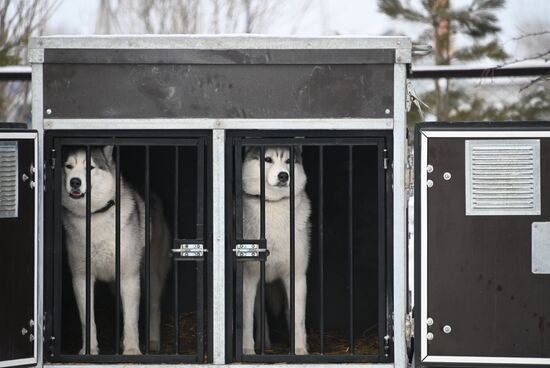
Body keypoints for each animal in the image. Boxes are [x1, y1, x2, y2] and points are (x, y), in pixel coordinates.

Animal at [61, 146, 171, 354]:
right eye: (68, 166)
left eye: (90, 167)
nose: (75, 182)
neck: (95, 216)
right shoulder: (81, 277)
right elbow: (88, 320)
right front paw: (89, 350)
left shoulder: (129, 277)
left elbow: (132, 319)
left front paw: (132, 351)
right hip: (115, 285)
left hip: (152, 274)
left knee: (153, 307)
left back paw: (152, 342)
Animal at [242, 146, 310, 354]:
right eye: (268, 159)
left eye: (288, 161)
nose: (283, 175)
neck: (273, 205)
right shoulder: (248, 278)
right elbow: (246, 319)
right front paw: (246, 350)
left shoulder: (296, 277)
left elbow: (298, 319)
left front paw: (300, 350)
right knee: (259, 313)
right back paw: (262, 343)